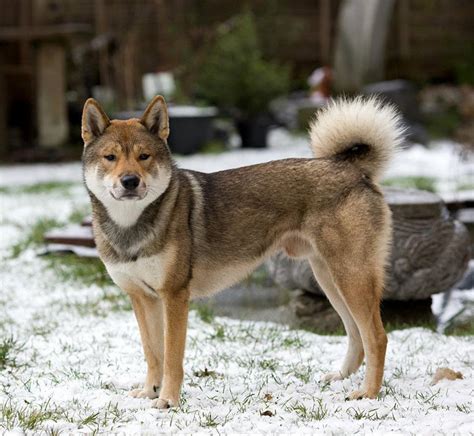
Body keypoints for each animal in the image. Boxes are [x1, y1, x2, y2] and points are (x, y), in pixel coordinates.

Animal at [81, 95, 404, 408]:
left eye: (144, 156)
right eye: (110, 157)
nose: (130, 181)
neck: (131, 225)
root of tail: (352, 169)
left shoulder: (174, 297)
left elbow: (171, 358)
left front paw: (168, 400)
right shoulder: (142, 298)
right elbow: (153, 353)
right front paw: (150, 392)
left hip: (350, 278)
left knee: (377, 338)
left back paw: (368, 394)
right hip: (330, 280)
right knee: (356, 335)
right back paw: (340, 377)